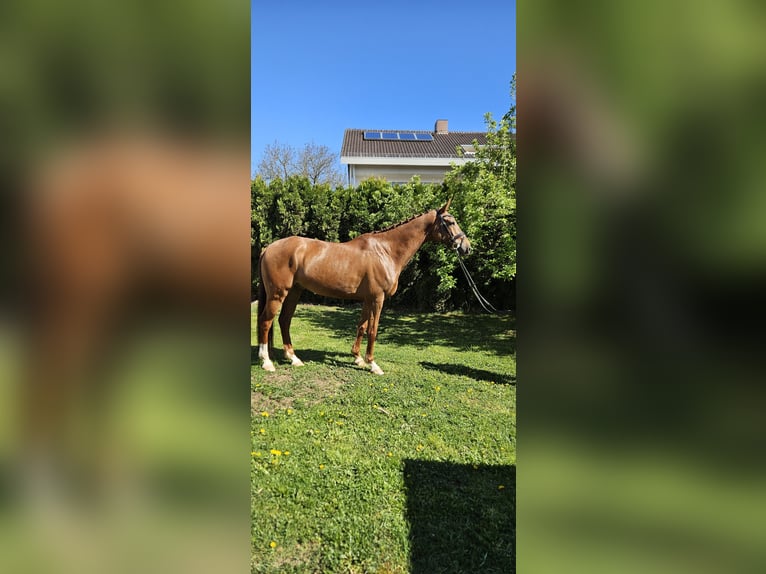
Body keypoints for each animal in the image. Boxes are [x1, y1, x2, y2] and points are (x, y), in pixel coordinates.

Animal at [256, 199, 471, 375]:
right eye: (450, 222)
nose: (466, 247)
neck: (385, 251)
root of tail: (268, 248)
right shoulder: (377, 298)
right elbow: (373, 330)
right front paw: (373, 364)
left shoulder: (368, 299)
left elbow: (361, 327)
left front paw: (358, 358)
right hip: (278, 294)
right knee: (266, 321)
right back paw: (267, 362)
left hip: (294, 291)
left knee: (284, 320)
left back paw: (293, 358)